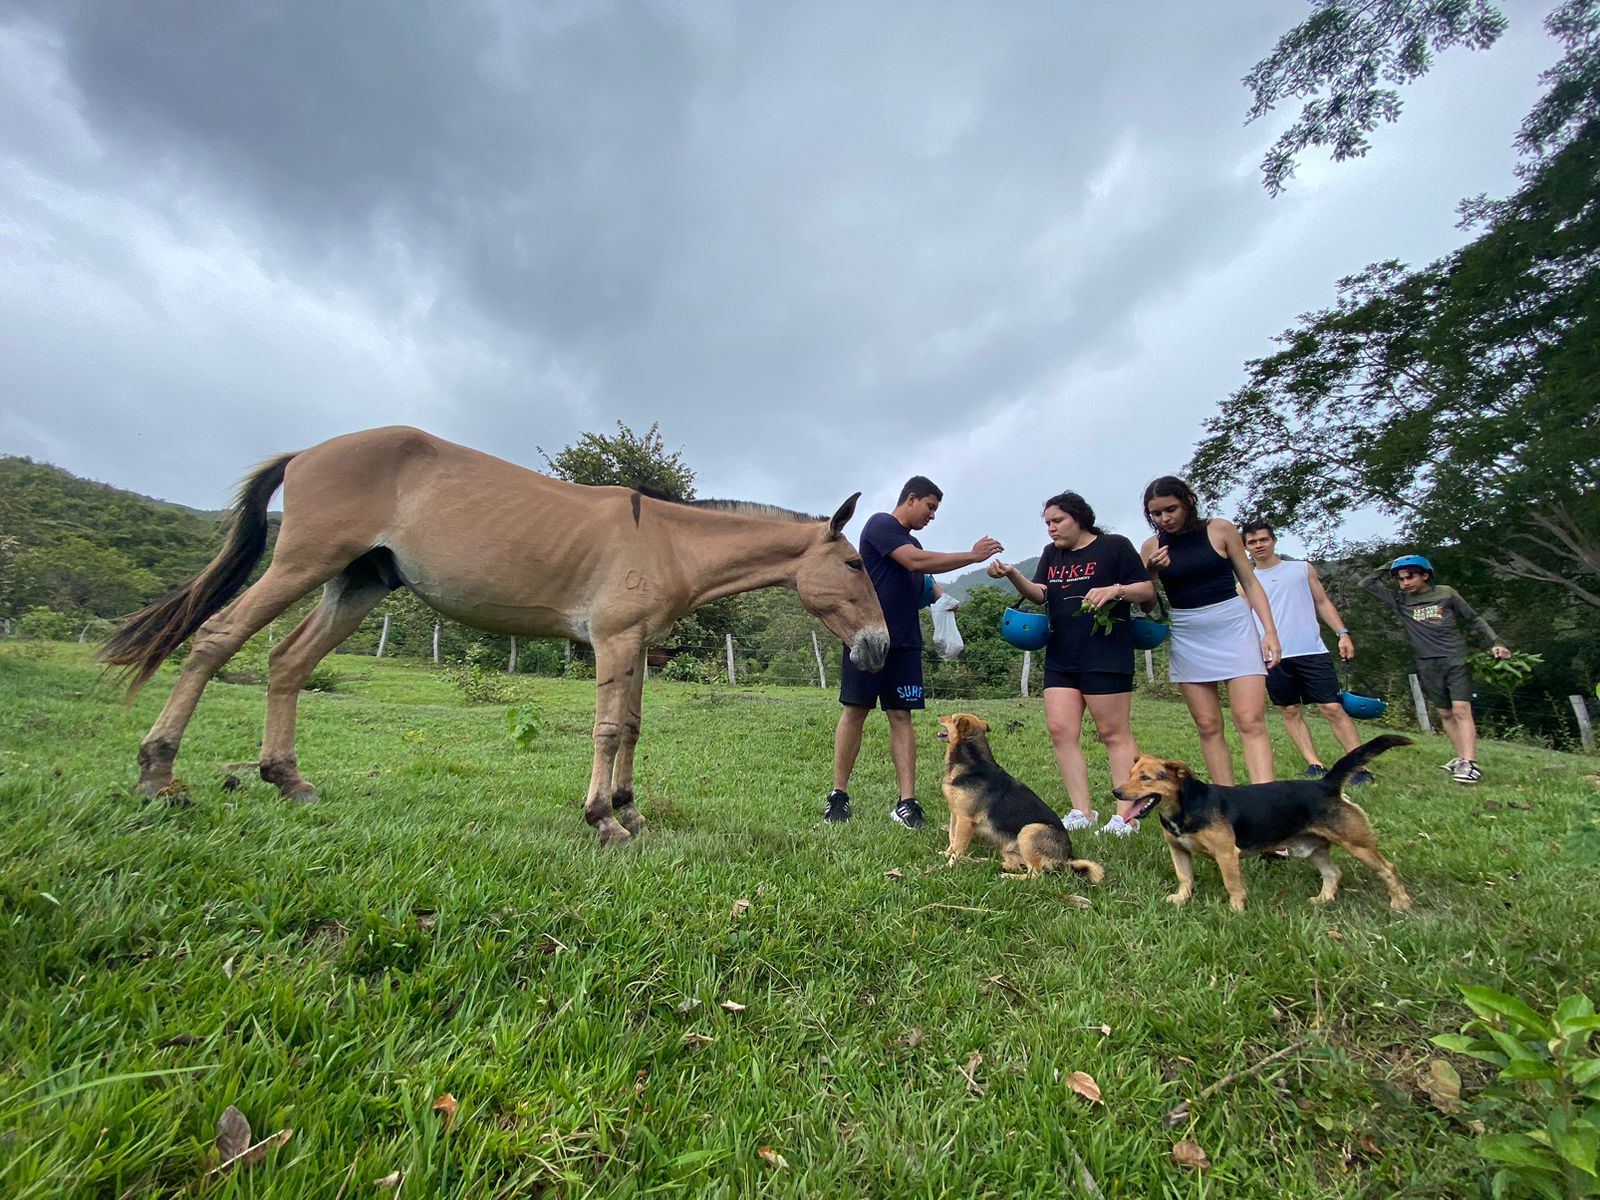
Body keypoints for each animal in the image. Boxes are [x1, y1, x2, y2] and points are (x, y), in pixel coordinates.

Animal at [103, 428, 889, 844]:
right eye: (854, 563)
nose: (880, 645)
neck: (666, 540)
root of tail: (305, 453)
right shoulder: (613, 641)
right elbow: (609, 729)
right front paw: (602, 818)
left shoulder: (636, 646)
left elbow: (633, 727)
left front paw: (629, 812)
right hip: (304, 564)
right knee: (216, 638)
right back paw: (157, 775)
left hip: (356, 584)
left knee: (287, 661)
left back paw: (287, 779)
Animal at [934, 713, 1107, 883]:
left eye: (952, 718)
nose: (939, 716)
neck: (972, 764)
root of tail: (1066, 858)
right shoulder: (955, 814)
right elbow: (952, 838)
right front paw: (946, 855)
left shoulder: (965, 820)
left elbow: (958, 846)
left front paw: (947, 867)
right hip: (1009, 848)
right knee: (1014, 865)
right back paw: (980, 861)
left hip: (1028, 831)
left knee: (1034, 874)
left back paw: (1006, 876)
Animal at [1113, 732, 1414, 908]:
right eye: (1129, 774)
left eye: (1146, 778)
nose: (1116, 791)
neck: (1184, 807)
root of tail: (1325, 784)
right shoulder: (1178, 850)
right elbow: (1184, 877)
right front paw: (1180, 899)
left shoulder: (1226, 854)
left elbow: (1232, 885)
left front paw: (1235, 912)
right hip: (1312, 848)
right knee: (1333, 873)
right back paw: (1322, 900)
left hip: (1358, 844)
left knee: (1389, 869)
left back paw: (1400, 902)